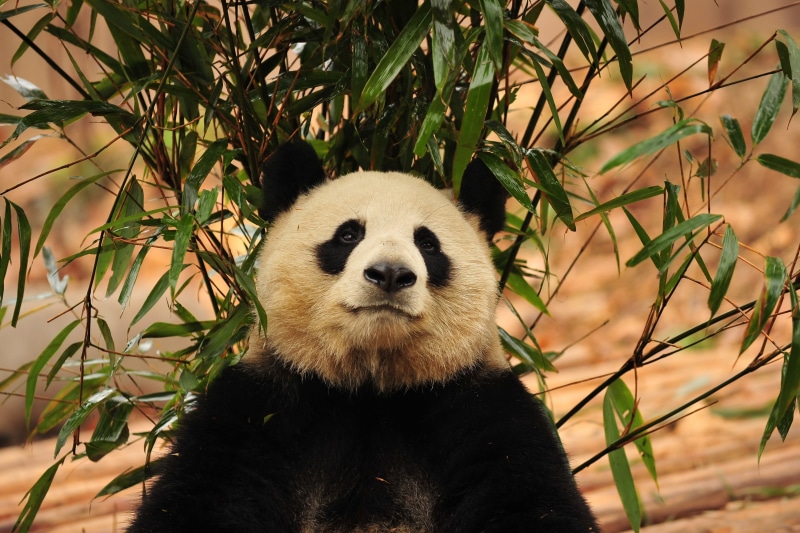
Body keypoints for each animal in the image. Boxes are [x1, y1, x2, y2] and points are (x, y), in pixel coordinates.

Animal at [127, 141, 599, 532]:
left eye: (428, 244)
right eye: (349, 234)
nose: (390, 274)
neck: (372, 386)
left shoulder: (479, 409)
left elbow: (532, 502)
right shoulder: (262, 409)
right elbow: (199, 500)